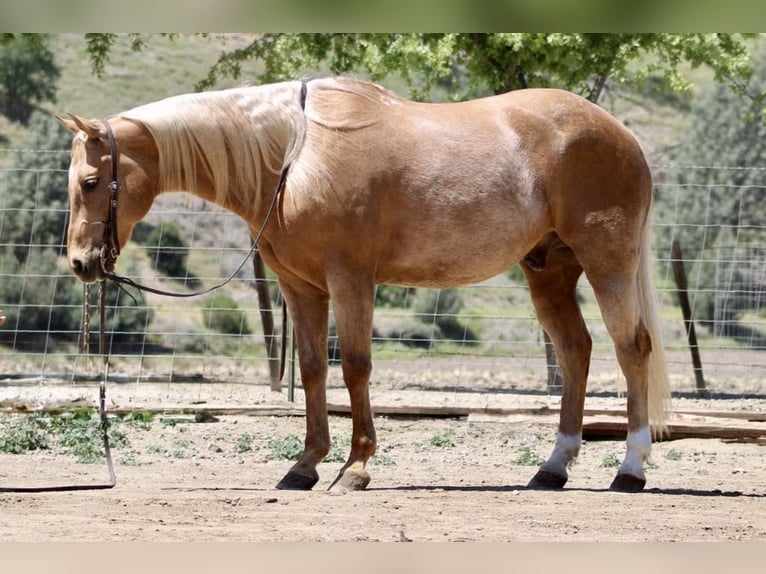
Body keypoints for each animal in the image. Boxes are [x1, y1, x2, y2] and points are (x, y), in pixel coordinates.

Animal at [57, 76, 670, 493]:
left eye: (90, 182)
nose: (82, 264)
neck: (296, 155)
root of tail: (623, 136)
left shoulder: (350, 279)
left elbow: (354, 366)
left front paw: (355, 468)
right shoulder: (301, 288)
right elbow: (311, 370)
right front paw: (304, 466)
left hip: (607, 263)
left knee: (631, 348)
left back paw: (630, 468)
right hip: (549, 270)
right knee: (575, 350)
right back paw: (553, 466)